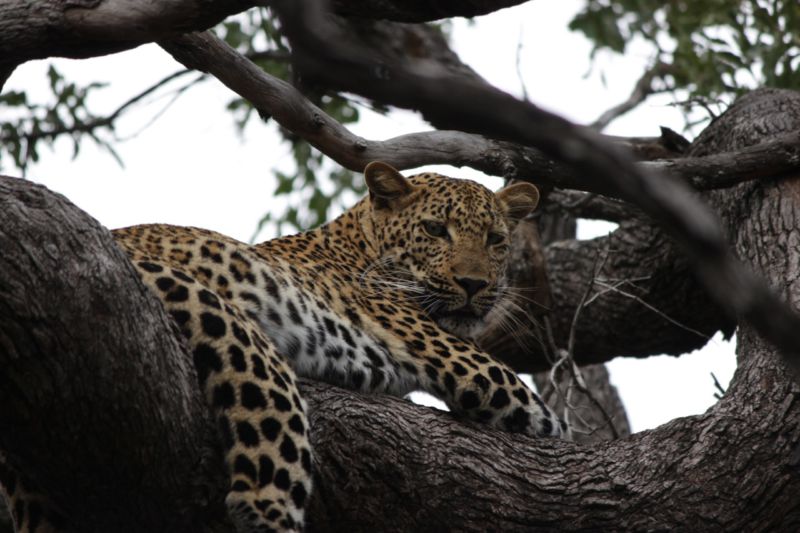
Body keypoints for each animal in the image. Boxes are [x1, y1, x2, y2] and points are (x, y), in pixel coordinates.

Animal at [1, 162, 568, 533]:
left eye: (496, 240)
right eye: (434, 229)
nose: (474, 285)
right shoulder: (483, 373)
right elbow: (554, 426)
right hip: (225, 322)